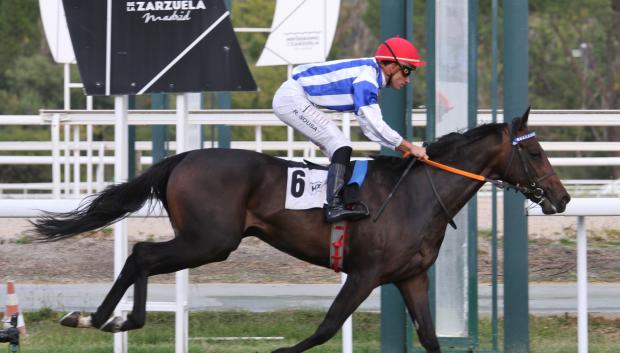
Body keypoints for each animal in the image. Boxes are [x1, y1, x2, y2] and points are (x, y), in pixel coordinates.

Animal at [32, 107, 568, 352]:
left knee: (141, 256)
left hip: (205, 241)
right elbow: (327, 326)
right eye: (535, 151)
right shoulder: (365, 273)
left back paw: (108, 319)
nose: (561, 198)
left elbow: (431, 338)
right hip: (211, 241)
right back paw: (101, 318)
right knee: (142, 254)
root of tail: (183, 158)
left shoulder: (410, 277)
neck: (417, 196)